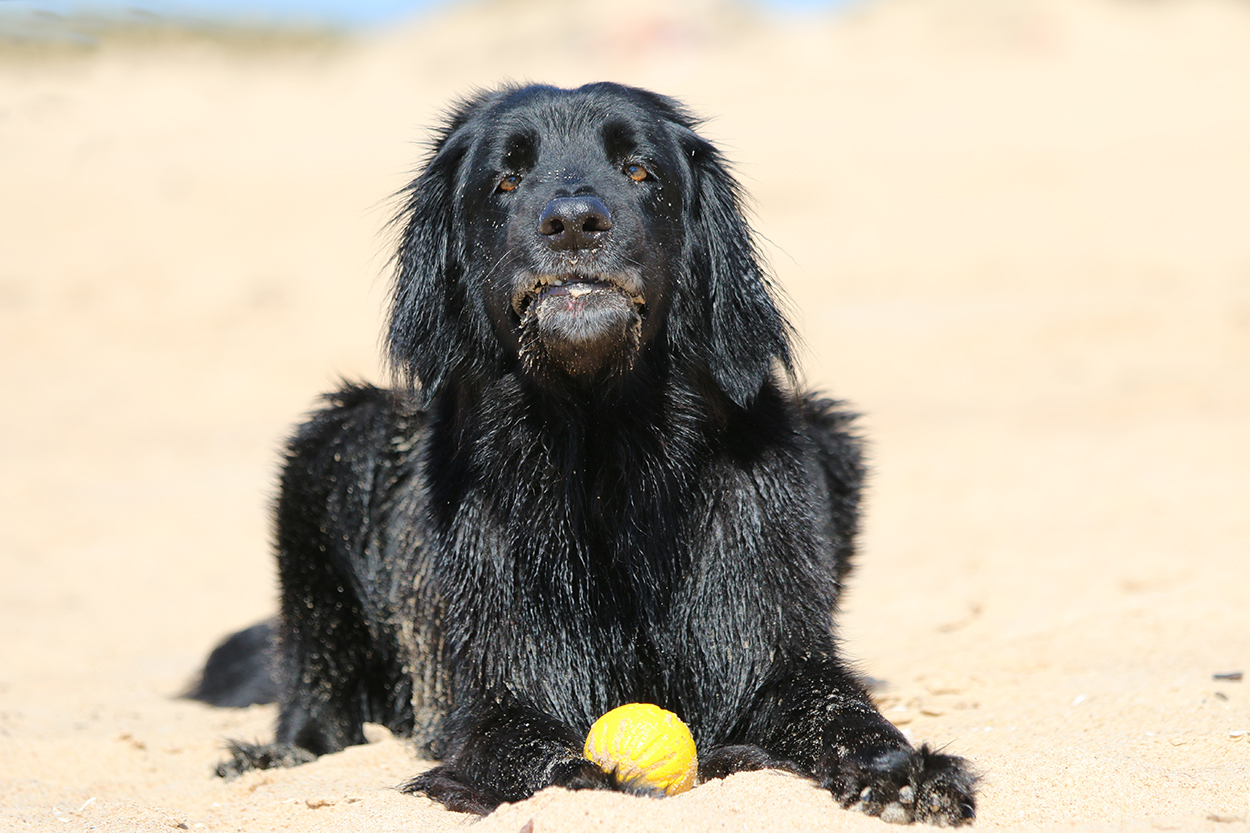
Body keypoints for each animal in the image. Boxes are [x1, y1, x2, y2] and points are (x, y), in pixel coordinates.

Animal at [189, 82, 977, 825]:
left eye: (639, 171)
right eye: (506, 179)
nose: (573, 221)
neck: (605, 462)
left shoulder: (775, 648)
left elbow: (838, 707)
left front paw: (906, 772)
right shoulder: (494, 693)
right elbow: (533, 749)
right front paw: (601, 779)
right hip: (327, 446)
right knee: (313, 694)